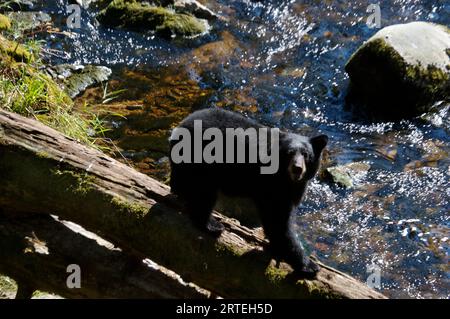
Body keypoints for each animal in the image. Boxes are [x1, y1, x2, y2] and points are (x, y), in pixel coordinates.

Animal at [169, 108, 326, 278]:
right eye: (289, 153)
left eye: (306, 154)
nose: (297, 168)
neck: (286, 178)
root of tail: (180, 126)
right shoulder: (272, 185)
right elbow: (279, 221)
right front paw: (308, 265)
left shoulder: (292, 187)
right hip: (202, 161)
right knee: (203, 194)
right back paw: (212, 225)